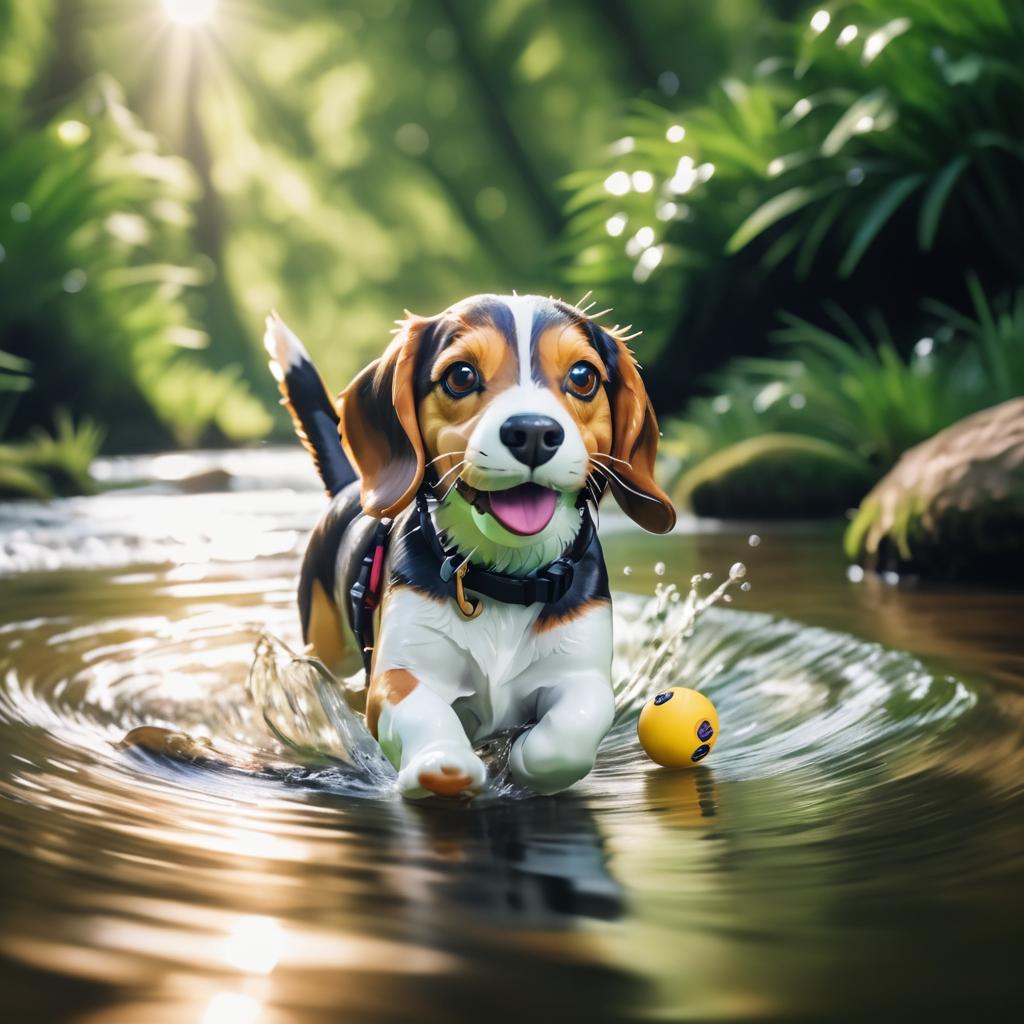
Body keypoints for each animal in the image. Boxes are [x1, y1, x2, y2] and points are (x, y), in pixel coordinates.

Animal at [266, 296, 671, 798]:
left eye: (583, 376)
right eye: (460, 376)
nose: (533, 433)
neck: (504, 579)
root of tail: (347, 488)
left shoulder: (583, 672)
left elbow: (571, 729)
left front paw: (521, 754)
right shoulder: (400, 675)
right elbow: (422, 712)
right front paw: (444, 762)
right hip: (328, 647)